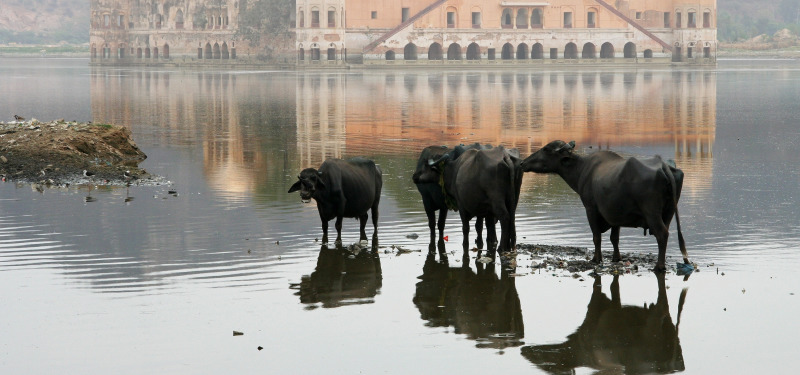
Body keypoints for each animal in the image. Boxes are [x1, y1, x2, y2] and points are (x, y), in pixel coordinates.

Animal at [520, 140, 692, 272]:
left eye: (546, 149)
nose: (523, 163)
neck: (582, 169)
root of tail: (664, 167)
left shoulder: (591, 209)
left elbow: (596, 237)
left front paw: (596, 258)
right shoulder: (615, 214)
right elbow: (614, 238)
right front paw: (617, 257)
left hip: (652, 212)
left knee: (662, 234)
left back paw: (659, 266)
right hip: (669, 212)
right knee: (665, 233)